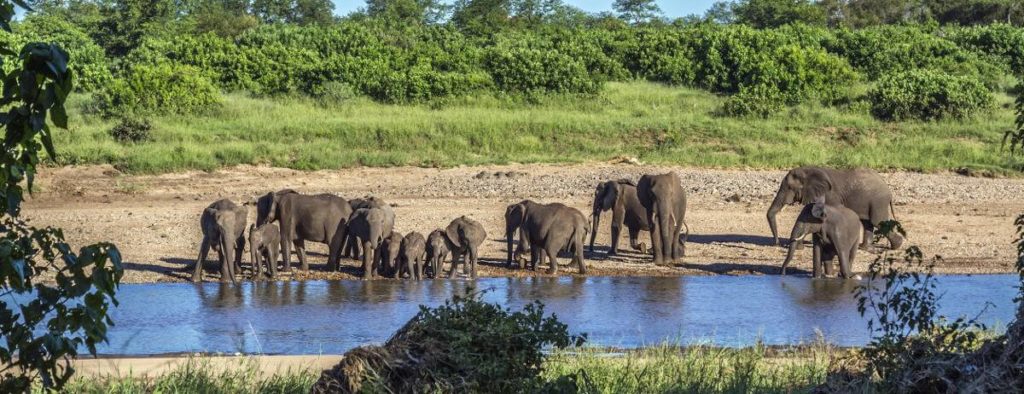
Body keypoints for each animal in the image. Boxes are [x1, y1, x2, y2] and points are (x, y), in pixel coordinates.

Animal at [770, 165, 905, 248]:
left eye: (789, 187)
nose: (777, 243)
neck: (808, 170)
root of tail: (888, 190)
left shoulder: (829, 195)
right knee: (867, 222)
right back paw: (864, 248)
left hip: (878, 201)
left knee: (878, 222)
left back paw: (897, 245)